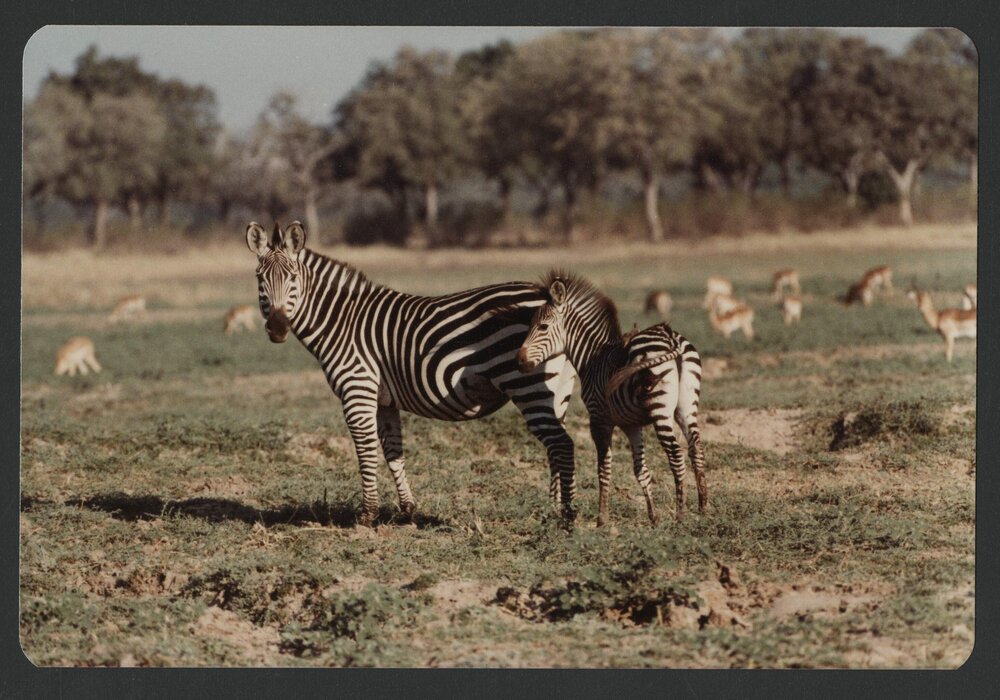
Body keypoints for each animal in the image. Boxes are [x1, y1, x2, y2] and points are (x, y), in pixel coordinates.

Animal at [247, 221, 578, 526]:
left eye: (292, 278)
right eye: (260, 278)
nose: (278, 328)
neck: (342, 321)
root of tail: (550, 298)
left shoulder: (357, 389)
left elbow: (366, 451)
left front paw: (367, 515)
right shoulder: (383, 400)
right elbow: (393, 451)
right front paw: (407, 509)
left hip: (530, 386)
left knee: (561, 445)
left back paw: (567, 515)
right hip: (557, 392)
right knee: (556, 446)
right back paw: (552, 509)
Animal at [516, 272, 707, 525]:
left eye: (543, 326)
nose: (519, 361)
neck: (592, 357)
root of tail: (670, 336)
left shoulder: (599, 418)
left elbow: (603, 467)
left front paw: (602, 518)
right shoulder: (631, 424)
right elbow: (640, 470)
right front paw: (653, 517)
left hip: (661, 409)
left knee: (676, 455)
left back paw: (680, 516)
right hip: (686, 406)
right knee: (696, 449)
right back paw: (704, 508)